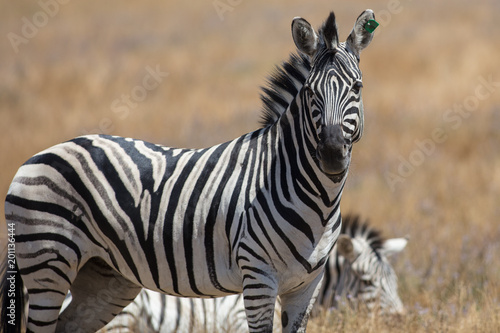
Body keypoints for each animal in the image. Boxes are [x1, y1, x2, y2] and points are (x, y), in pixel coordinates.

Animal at [0, 8, 376, 332]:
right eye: (311, 91)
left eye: (357, 88)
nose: (331, 154)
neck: (316, 198)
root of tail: (37, 156)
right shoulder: (258, 278)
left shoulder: (306, 286)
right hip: (48, 261)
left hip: (104, 275)